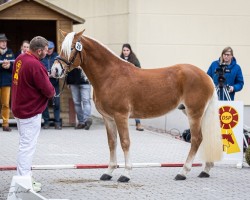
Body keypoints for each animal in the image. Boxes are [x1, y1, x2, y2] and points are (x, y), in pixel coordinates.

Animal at [50, 30, 223, 183]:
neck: (110, 75)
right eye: (61, 47)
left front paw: (125, 174)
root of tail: (206, 76)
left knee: (196, 139)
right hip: (193, 113)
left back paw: (183, 172)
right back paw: (205, 170)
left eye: (72, 48)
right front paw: (108, 172)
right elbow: (112, 143)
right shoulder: (108, 118)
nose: (55, 70)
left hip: (194, 113)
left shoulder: (121, 116)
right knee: (204, 138)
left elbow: (125, 142)